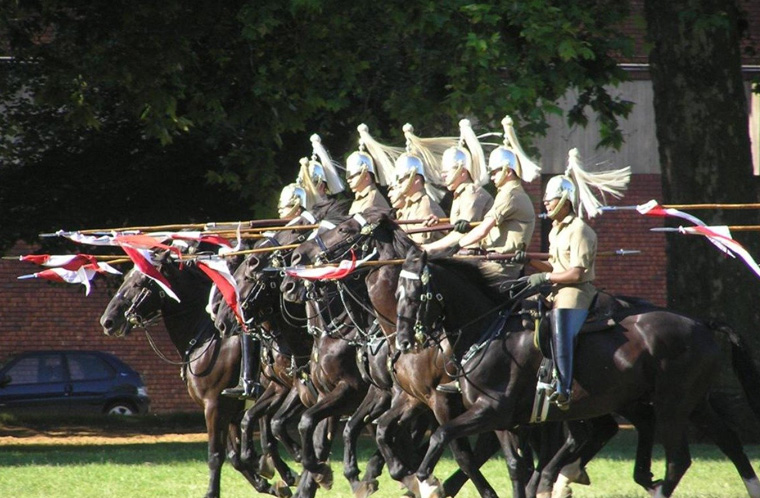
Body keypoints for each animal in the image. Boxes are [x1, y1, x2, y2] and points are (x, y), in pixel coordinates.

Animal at [99, 260, 290, 498]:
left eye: (140, 282)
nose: (107, 321)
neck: (205, 337)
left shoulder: (214, 407)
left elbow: (216, 455)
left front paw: (213, 492)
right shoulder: (230, 413)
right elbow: (236, 457)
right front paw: (269, 482)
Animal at [394, 248, 760, 498]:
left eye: (416, 295)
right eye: (396, 294)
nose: (402, 341)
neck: (490, 332)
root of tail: (700, 323)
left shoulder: (490, 411)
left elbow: (442, 436)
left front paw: (426, 480)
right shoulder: (503, 422)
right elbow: (515, 467)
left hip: (672, 406)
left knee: (677, 460)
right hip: (690, 404)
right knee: (728, 441)